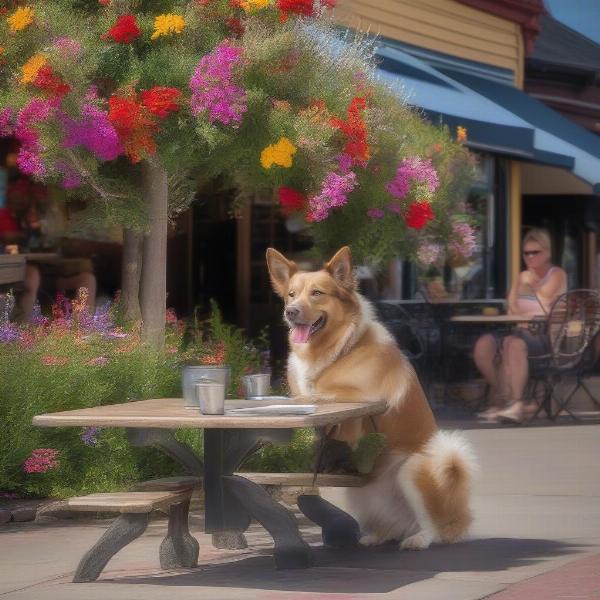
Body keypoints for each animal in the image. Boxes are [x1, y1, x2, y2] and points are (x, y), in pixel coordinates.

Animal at [268, 246, 478, 552]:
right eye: (291, 294)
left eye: (317, 293)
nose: (290, 312)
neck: (339, 349)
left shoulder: (359, 400)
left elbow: (319, 396)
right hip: (358, 491)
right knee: (389, 524)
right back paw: (377, 535)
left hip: (417, 468)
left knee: (434, 527)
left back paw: (419, 539)